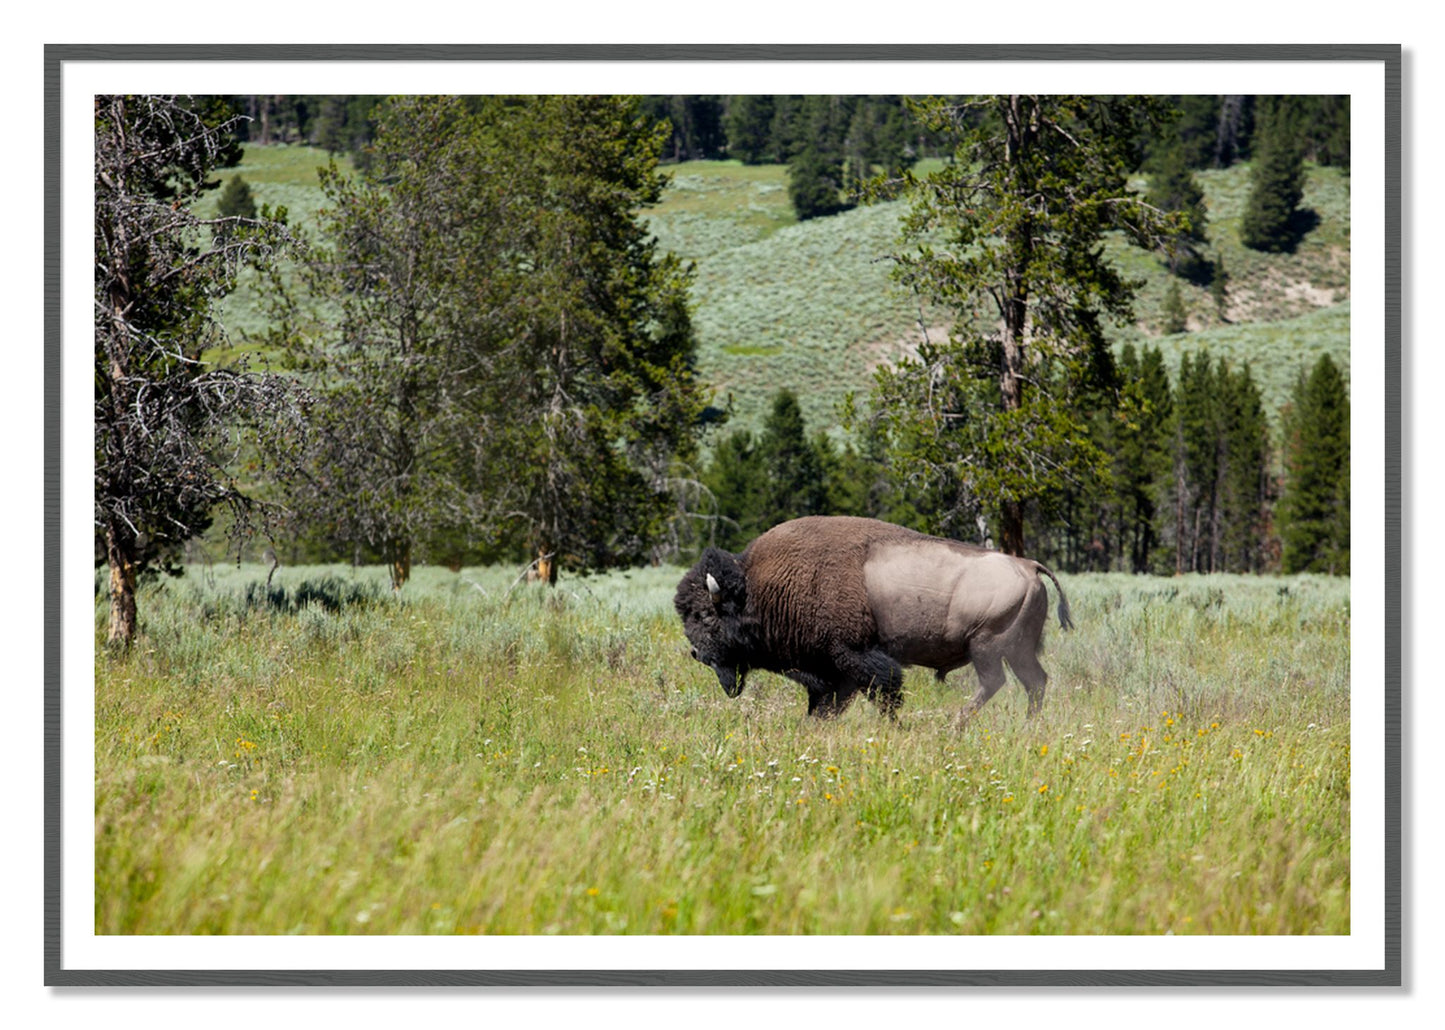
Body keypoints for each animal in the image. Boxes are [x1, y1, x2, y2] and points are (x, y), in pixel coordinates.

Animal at [674, 516, 1073, 720]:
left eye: (706, 616)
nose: (696, 653)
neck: (759, 587)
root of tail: (1028, 565)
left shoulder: (854, 657)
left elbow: (884, 693)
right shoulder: (831, 672)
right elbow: (826, 705)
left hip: (987, 646)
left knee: (996, 683)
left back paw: (955, 724)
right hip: (1017, 650)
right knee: (1035, 682)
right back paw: (1027, 725)